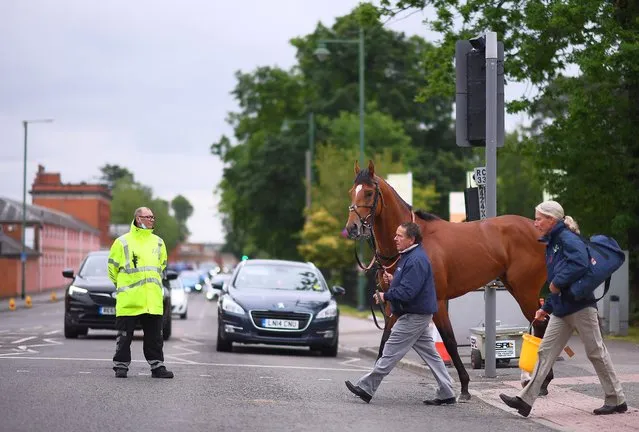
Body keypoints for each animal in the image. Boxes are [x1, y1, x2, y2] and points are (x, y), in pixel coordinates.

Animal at [348, 160, 552, 400]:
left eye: (369, 193)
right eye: (352, 192)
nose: (352, 227)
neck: (415, 243)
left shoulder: (437, 301)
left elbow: (450, 341)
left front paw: (463, 386)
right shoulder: (393, 302)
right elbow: (385, 342)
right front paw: (365, 386)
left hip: (525, 290)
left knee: (541, 325)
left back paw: (542, 382)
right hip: (515, 287)